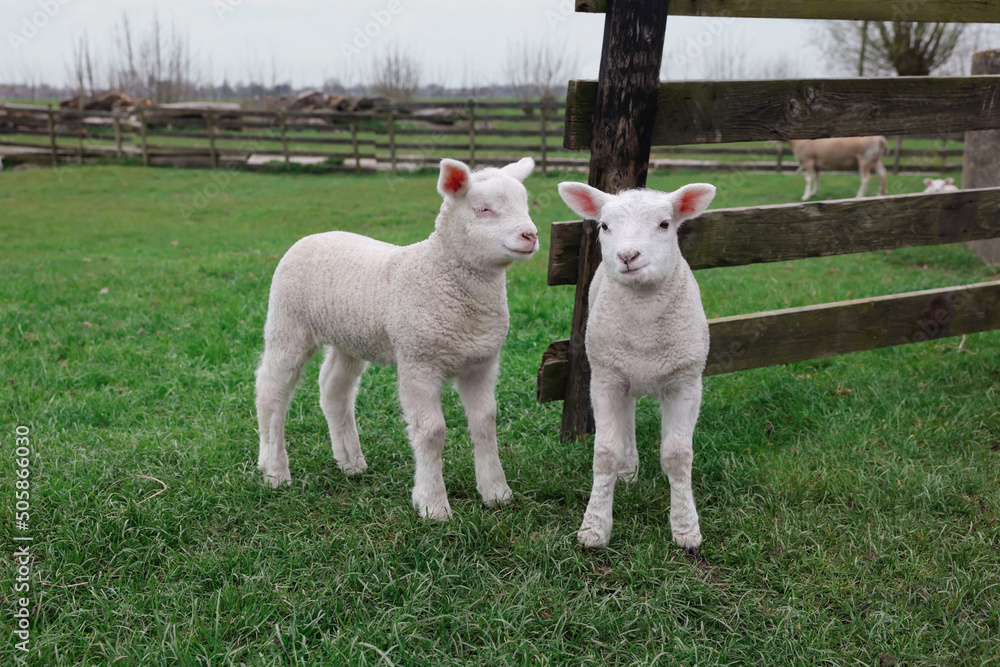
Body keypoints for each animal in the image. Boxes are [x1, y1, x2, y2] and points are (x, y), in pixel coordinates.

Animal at [256, 157, 539, 519]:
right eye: (483, 209)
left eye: (525, 204)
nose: (530, 235)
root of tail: (314, 236)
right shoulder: (418, 361)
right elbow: (431, 431)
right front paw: (433, 504)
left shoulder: (482, 362)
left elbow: (485, 422)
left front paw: (496, 492)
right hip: (287, 323)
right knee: (271, 391)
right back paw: (274, 471)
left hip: (350, 335)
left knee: (334, 389)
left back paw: (350, 462)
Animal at [557, 180, 717, 553]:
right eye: (604, 226)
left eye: (664, 224)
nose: (628, 256)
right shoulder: (605, 379)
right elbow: (604, 452)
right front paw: (594, 528)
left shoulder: (685, 381)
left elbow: (677, 455)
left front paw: (686, 529)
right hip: (617, 367)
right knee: (626, 417)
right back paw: (627, 470)